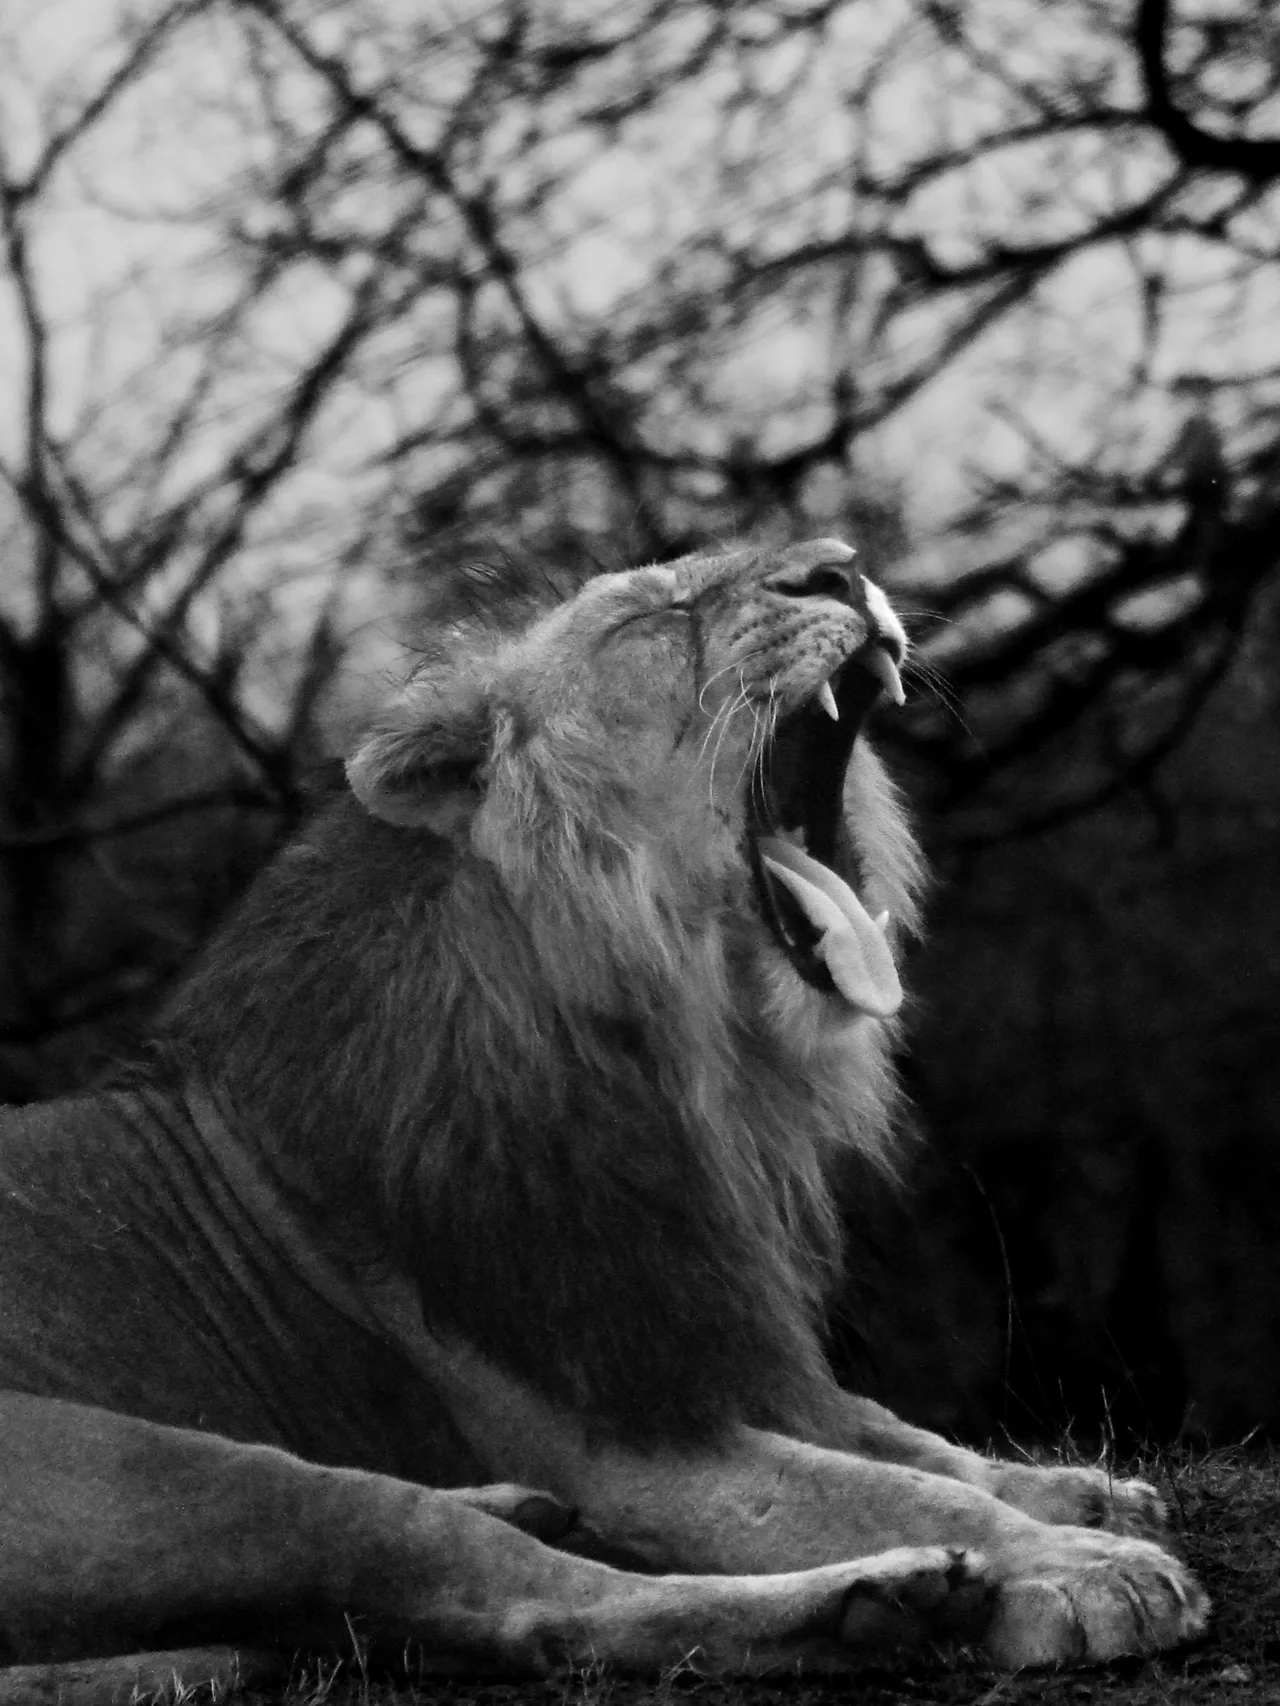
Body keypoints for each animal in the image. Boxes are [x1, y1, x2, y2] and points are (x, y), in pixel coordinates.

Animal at [0, 538, 1206, 1695]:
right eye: (653, 620)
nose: (842, 566)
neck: (683, 1064)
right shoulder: (617, 1437)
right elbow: (889, 1490)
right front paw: (1081, 1568)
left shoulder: (705, 1334)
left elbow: (907, 1438)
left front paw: (1084, 1493)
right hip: (155, 1468)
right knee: (498, 1592)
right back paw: (880, 1601)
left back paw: (523, 1505)